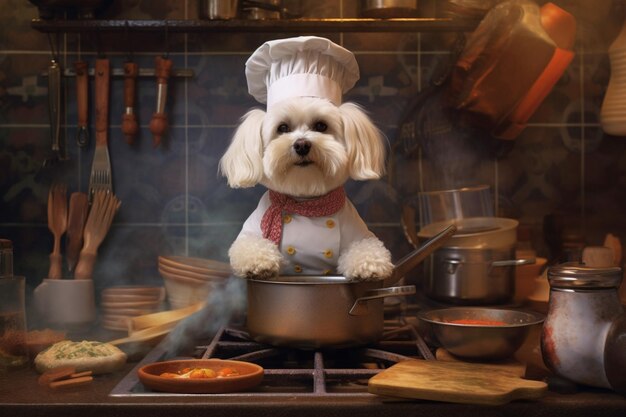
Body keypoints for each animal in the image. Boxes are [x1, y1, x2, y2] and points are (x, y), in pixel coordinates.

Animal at [221, 96, 390, 282]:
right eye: (283, 128)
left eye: (321, 126)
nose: (302, 145)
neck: (304, 202)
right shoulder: (250, 233)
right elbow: (249, 244)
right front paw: (259, 262)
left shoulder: (358, 234)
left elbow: (366, 247)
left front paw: (369, 265)